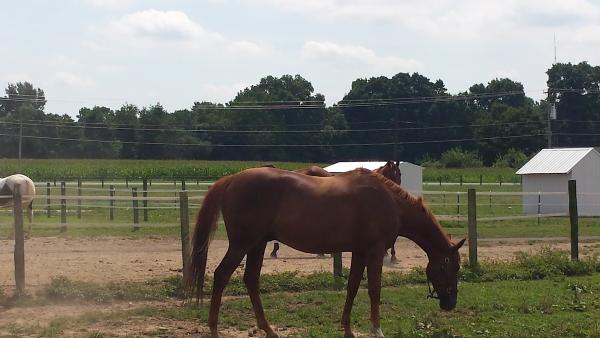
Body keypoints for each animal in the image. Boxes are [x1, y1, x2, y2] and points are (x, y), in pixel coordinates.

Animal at [188, 167, 464, 338]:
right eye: (452, 267)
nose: (451, 303)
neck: (389, 201)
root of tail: (231, 179)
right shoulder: (374, 252)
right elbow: (374, 290)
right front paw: (377, 330)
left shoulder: (360, 252)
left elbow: (353, 287)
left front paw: (348, 328)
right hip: (242, 244)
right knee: (221, 275)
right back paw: (214, 329)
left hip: (257, 245)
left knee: (251, 280)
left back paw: (268, 329)